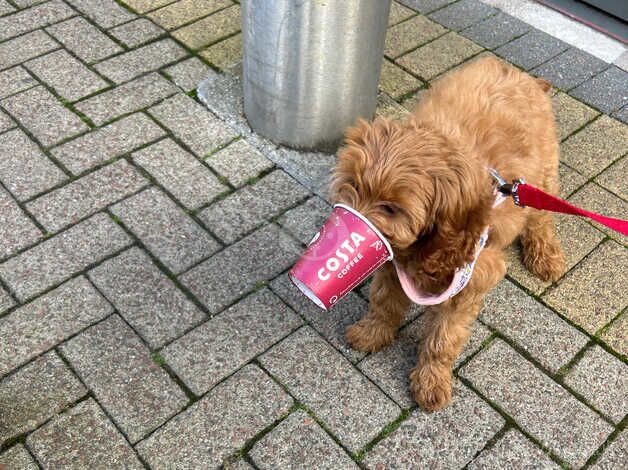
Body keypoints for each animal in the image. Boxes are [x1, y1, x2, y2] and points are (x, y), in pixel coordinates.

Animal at [332, 57, 568, 412]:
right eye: (354, 185)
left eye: (391, 208)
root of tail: (526, 78)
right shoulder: (392, 260)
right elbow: (384, 301)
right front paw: (372, 332)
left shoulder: (471, 278)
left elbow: (444, 335)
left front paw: (431, 379)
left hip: (542, 176)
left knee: (541, 218)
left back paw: (545, 256)